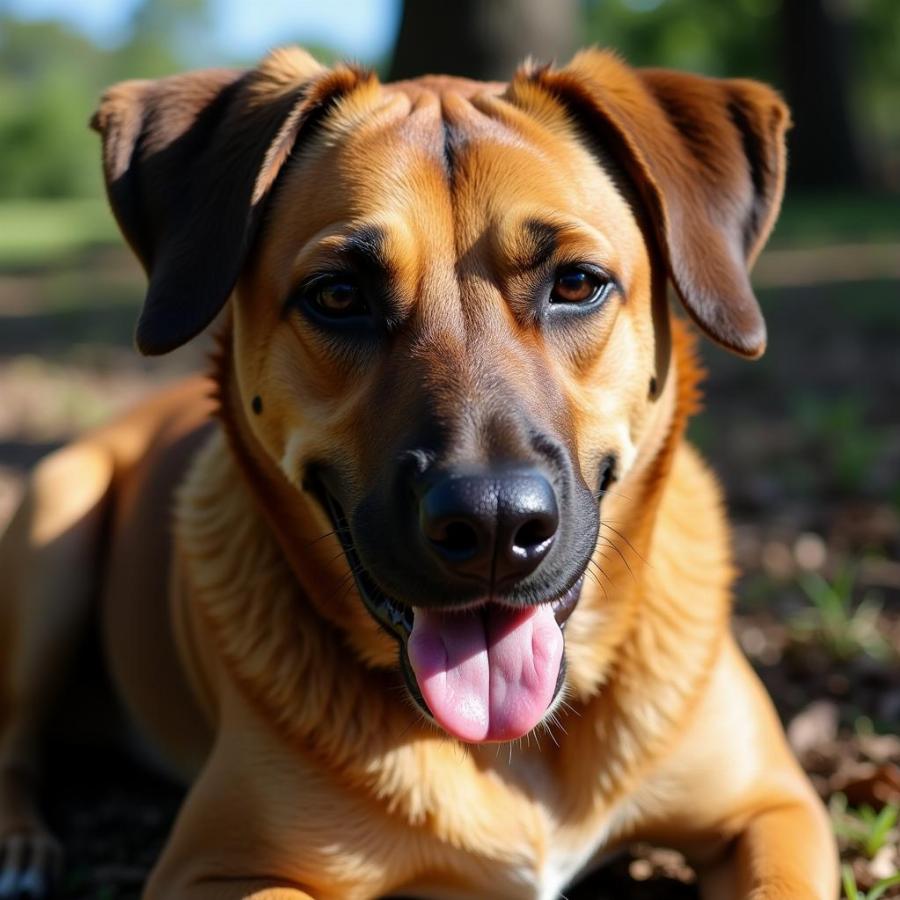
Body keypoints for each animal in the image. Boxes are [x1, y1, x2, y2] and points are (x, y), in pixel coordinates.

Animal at [3, 47, 840, 900]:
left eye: (577, 283)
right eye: (339, 294)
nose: (496, 523)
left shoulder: (775, 808)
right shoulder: (215, 867)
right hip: (53, 533)